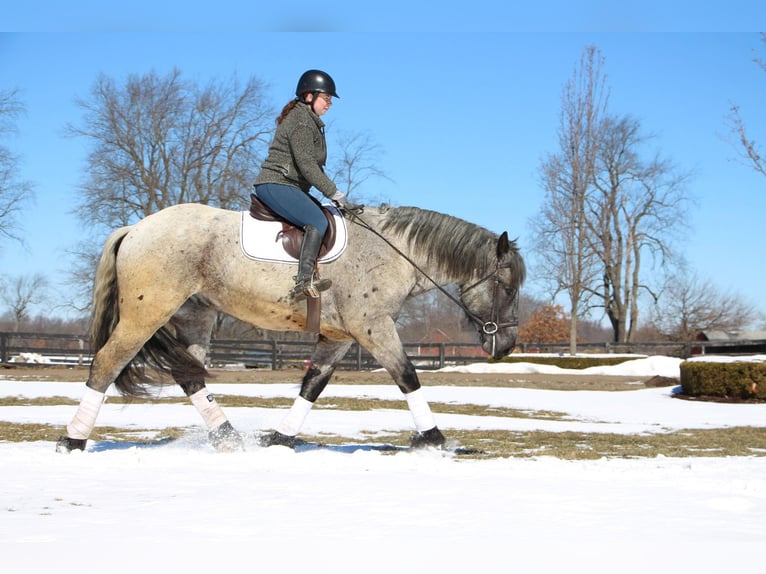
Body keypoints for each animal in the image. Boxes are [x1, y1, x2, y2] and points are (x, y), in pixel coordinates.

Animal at [55, 204, 528, 454]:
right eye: (507, 287)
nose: (506, 344)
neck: (393, 252)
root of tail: (135, 228)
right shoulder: (372, 329)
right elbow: (408, 377)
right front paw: (434, 438)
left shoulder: (340, 338)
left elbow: (312, 385)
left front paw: (279, 438)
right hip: (146, 314)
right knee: (107, 363)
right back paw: (72, 441)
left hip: (194, 316)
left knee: (189, 375)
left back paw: (229, 437)